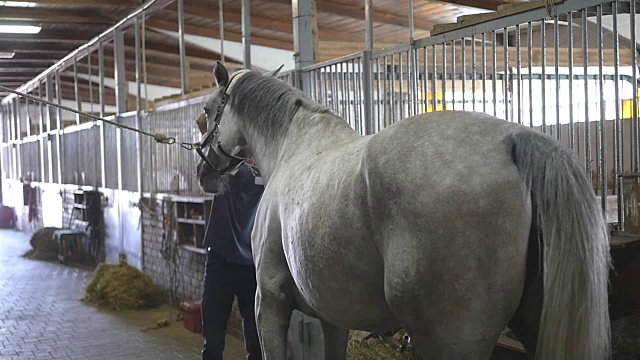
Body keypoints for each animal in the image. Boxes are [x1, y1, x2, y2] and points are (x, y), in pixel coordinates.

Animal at [195, 62, 608, 360]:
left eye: (206, 112)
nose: (203, 173)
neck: (291, 148)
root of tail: (514, 139)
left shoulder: (269, 301)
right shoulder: (333, 318)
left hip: (453, 339)